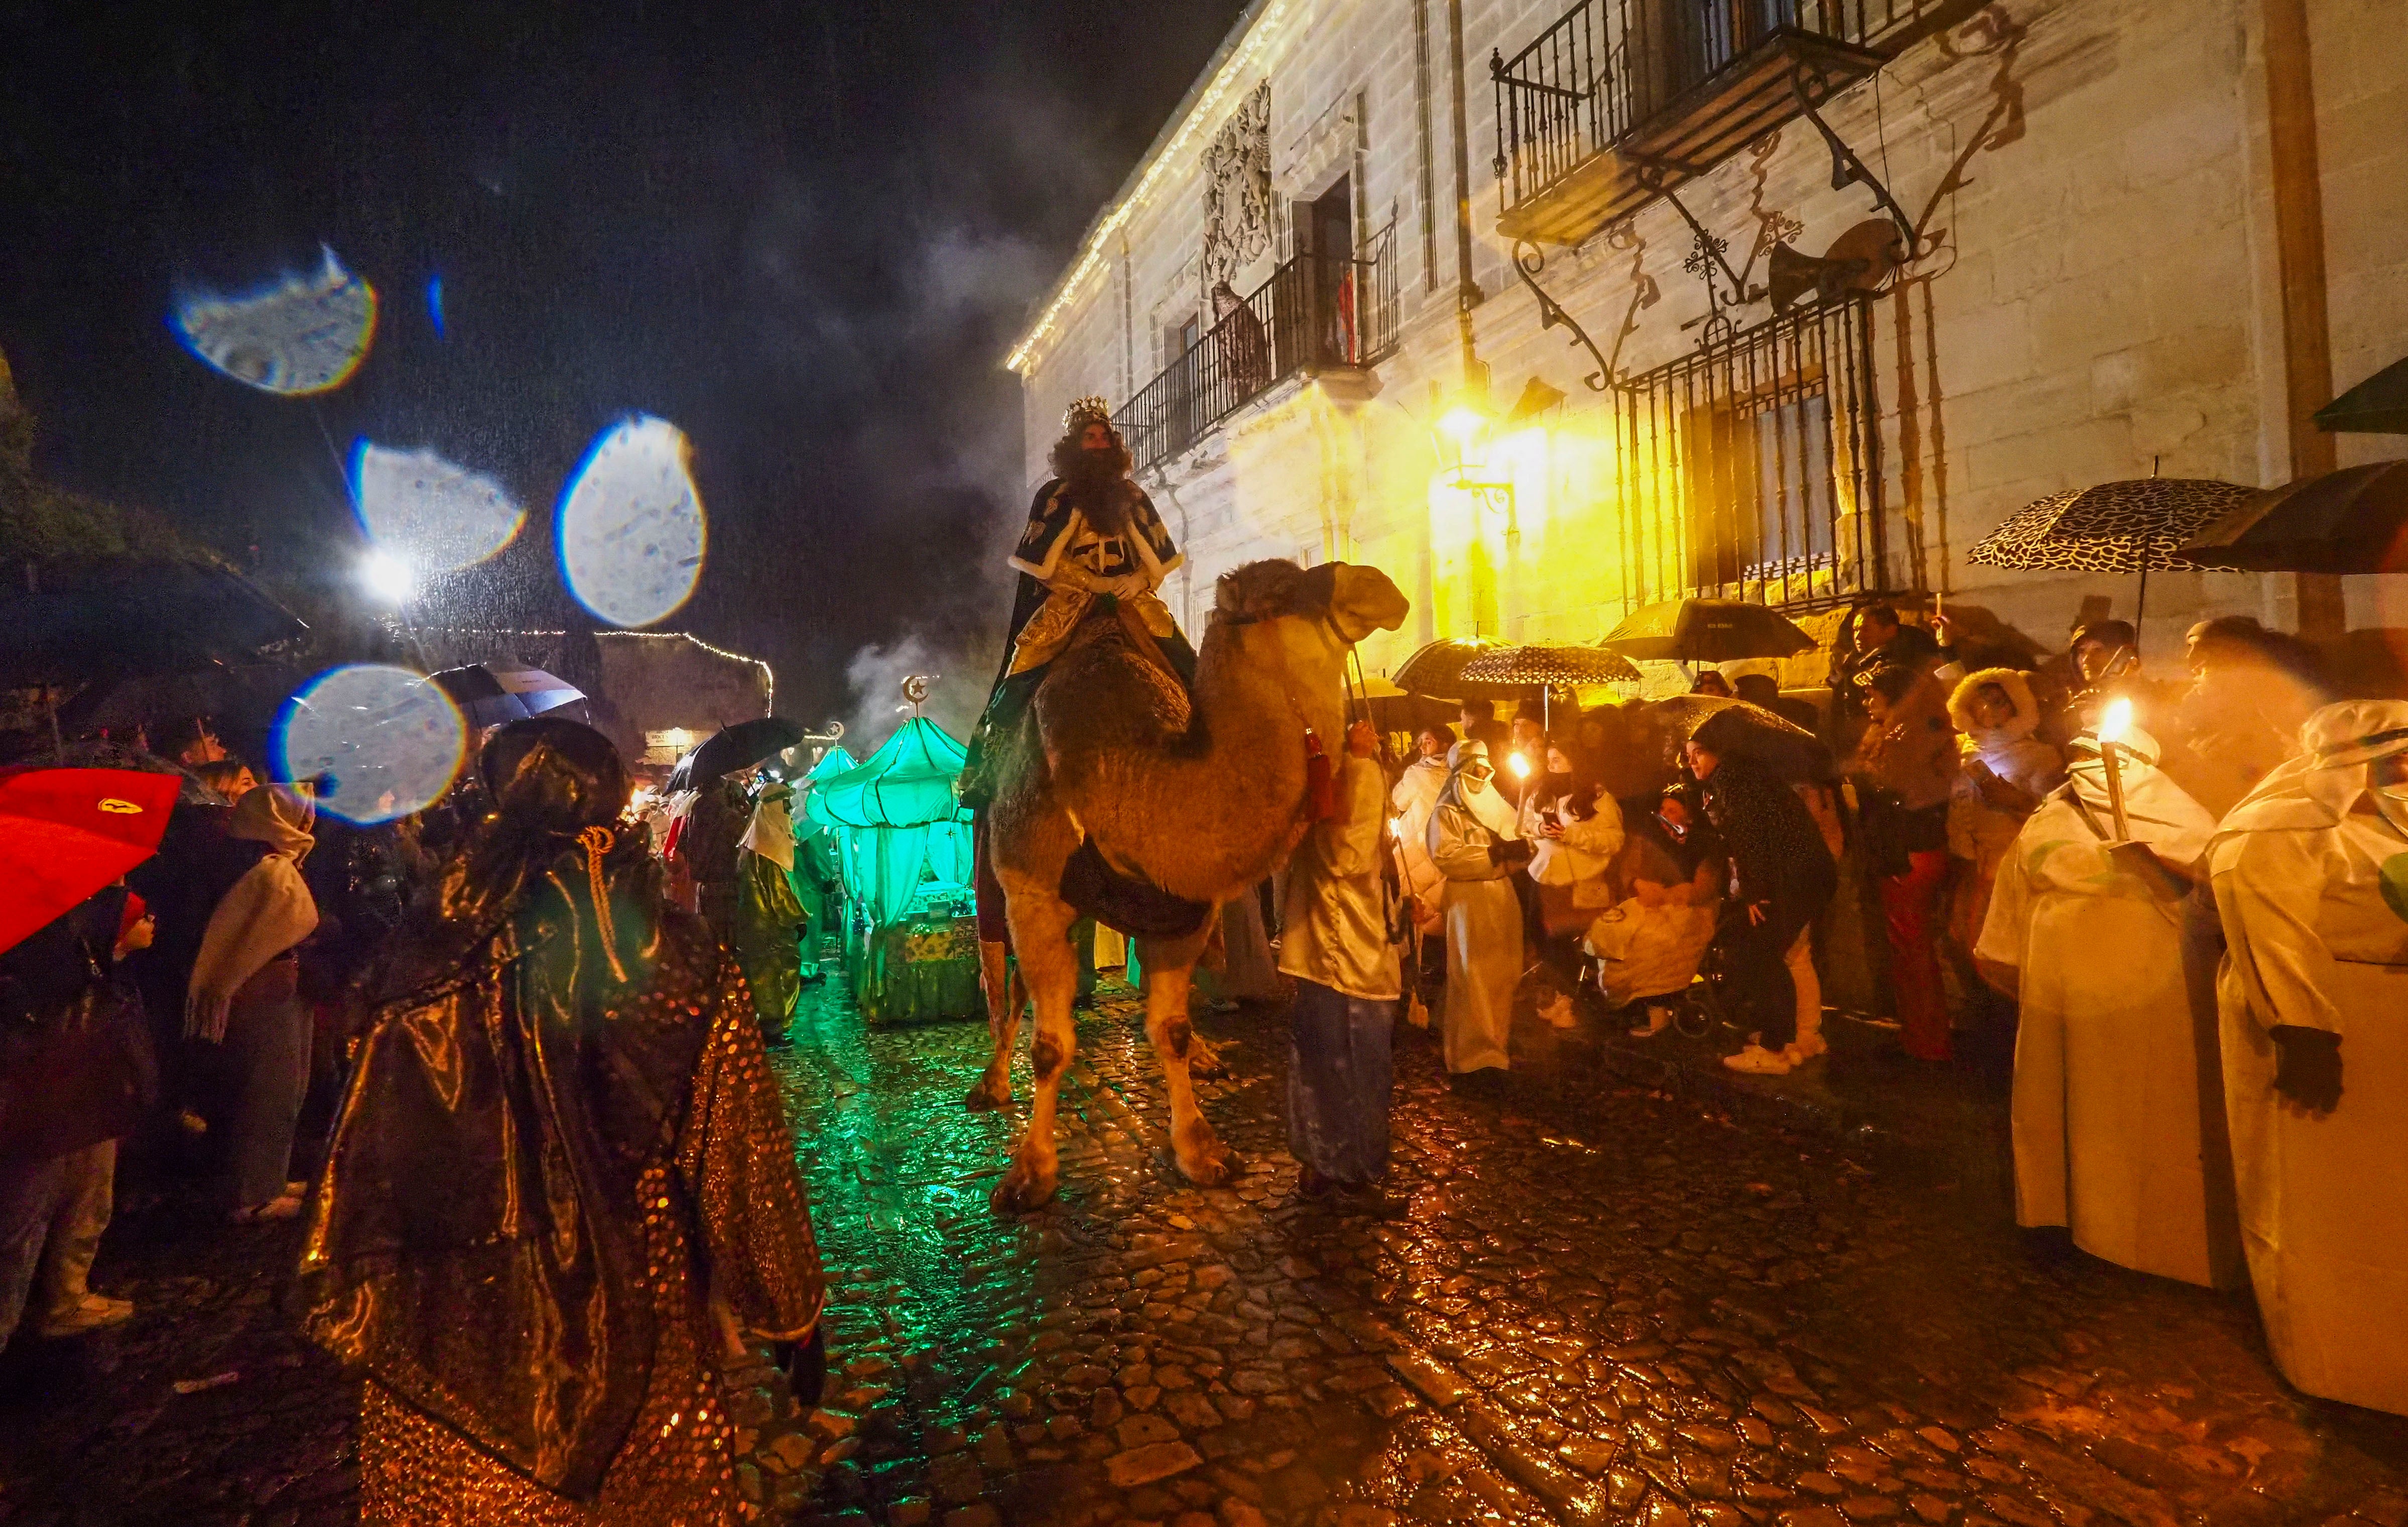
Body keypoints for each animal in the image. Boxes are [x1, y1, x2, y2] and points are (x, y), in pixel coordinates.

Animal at [963, 558, 1406, 1214]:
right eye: (1281, 591)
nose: (1380, 584)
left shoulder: (1185, 913)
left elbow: (1169, 1029)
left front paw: (1202, 1150)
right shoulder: (1032, 893)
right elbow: (1049, 1045)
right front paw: (1030, 1175)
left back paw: (1205, 1057)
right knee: (1010, 984)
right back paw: (991, 1082)